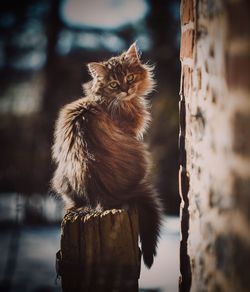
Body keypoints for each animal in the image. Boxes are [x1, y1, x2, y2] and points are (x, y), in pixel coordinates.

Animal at [51, 43, 163, 270]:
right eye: (113, 84)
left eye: (130, 77)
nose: (126, 89)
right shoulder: (132, 133)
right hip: (142, 152)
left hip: (59, 179)